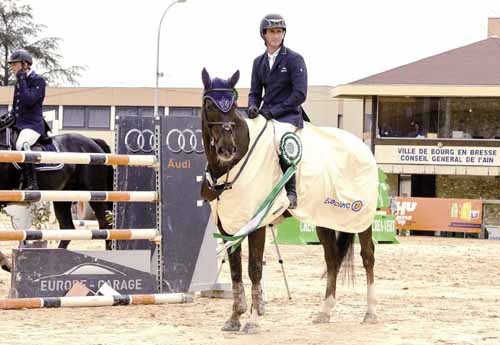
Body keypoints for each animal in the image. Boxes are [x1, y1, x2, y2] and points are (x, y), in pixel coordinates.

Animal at [0, 121, 113, 268]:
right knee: (68, 228)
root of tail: (93, 141)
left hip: (94, 193)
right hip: (63, 197)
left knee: (106, 225)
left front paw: (6, 264)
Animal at [199, 68, 376, 334]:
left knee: (368, 256)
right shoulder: (228, 225)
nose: (227, 149)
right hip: (324, 219)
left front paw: (252, 321)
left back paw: (370, 312)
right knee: (332, 258)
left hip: (361, 218)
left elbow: (254, 268)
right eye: (209, 104)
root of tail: (362, 145)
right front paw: (234, 318)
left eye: (233, 106)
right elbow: (235, 270)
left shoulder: (257, 224)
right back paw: (325, 311)